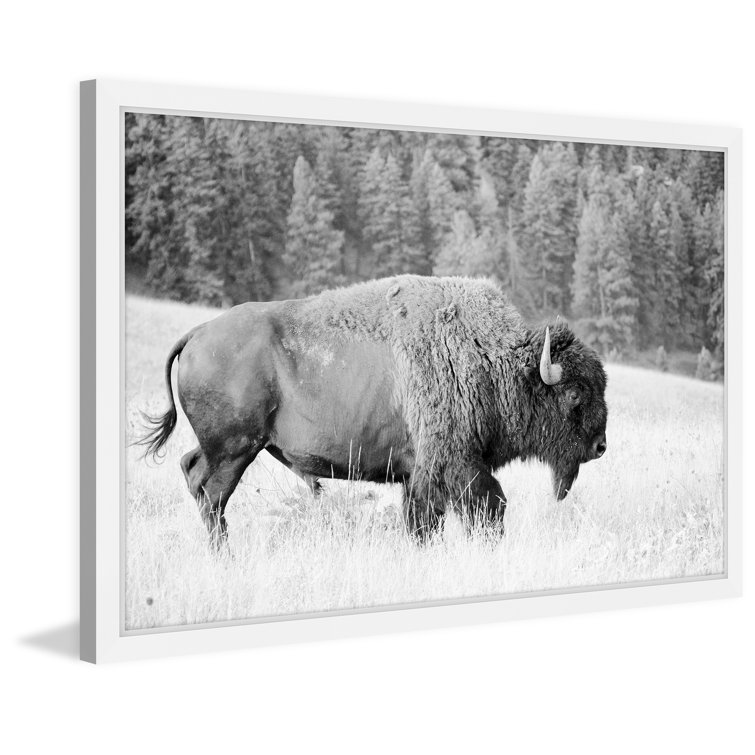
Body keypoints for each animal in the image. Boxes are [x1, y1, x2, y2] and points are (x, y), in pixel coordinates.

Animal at [139, 275, 607, 547]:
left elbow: (424, 523)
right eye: (574, 394)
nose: (600, 446)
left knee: (192, 472)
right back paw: (224, 555)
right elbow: (486, 509)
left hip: (225, 448)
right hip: (234, 450)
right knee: (211, 495)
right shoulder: (456, 465)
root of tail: (198, 333)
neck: (491, 360)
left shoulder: (418, 475)